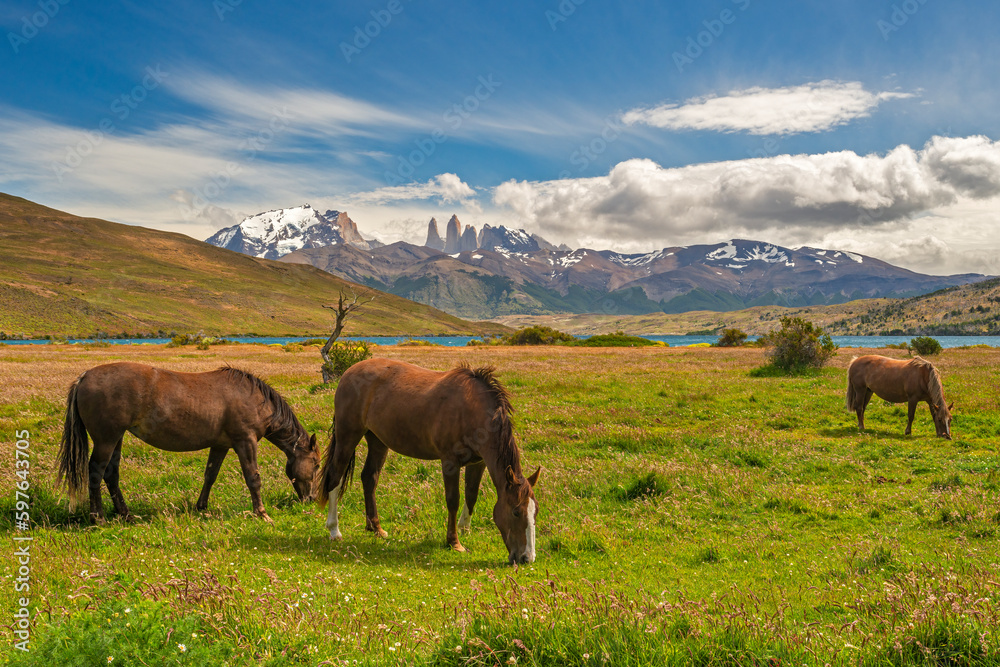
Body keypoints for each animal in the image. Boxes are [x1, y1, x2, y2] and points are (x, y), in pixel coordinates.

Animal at [56, 362, 320, 524]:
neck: (254, 399)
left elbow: (210, 475)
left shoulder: (221, 445)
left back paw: (126, 515)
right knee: (95, 472)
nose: (311, 499)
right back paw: (98, 517)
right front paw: (262, 513)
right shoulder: (245, 442)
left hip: (117, 438)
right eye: (316, 464)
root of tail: (84, 377)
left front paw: (201, 507)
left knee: (111, 474)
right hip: (106, 439)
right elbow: (253, 478)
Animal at [318, 360, 540, 564]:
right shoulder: (450, 462)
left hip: (377, 440)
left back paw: (375, 527)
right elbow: (453, 500)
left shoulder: (478, 463)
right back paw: (334, 530)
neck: (472, 409)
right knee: (335, 477)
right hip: (348, 435)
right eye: (516, 512)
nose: (527, 558)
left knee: (369, 478)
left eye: (535, 511)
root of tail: (349, 372)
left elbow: (471, 495)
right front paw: (454, 542)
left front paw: (464, 528)